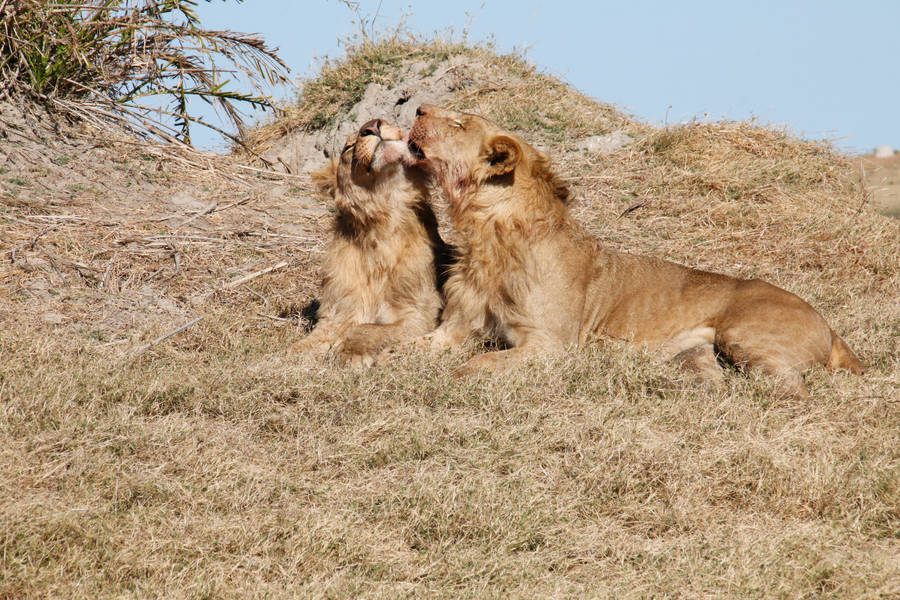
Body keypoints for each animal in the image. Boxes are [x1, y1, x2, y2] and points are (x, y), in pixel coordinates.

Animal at [290, 118, 452, 366]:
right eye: (348, 147)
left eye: (381, 121)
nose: (373, 125)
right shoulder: (338, 313)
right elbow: (300, 347)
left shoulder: (420, 312)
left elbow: (367, 328)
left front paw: (350, 354)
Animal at [407, 104, 864, 399]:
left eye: (458, 123)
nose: (418, 109)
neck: (490, 236)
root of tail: (829, 326)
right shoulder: (456, 327)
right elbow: (406, 347)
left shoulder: (551, 345)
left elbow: (478, 365)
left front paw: (453, 377)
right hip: (696, 353)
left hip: (746, 335)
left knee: (794, 389)